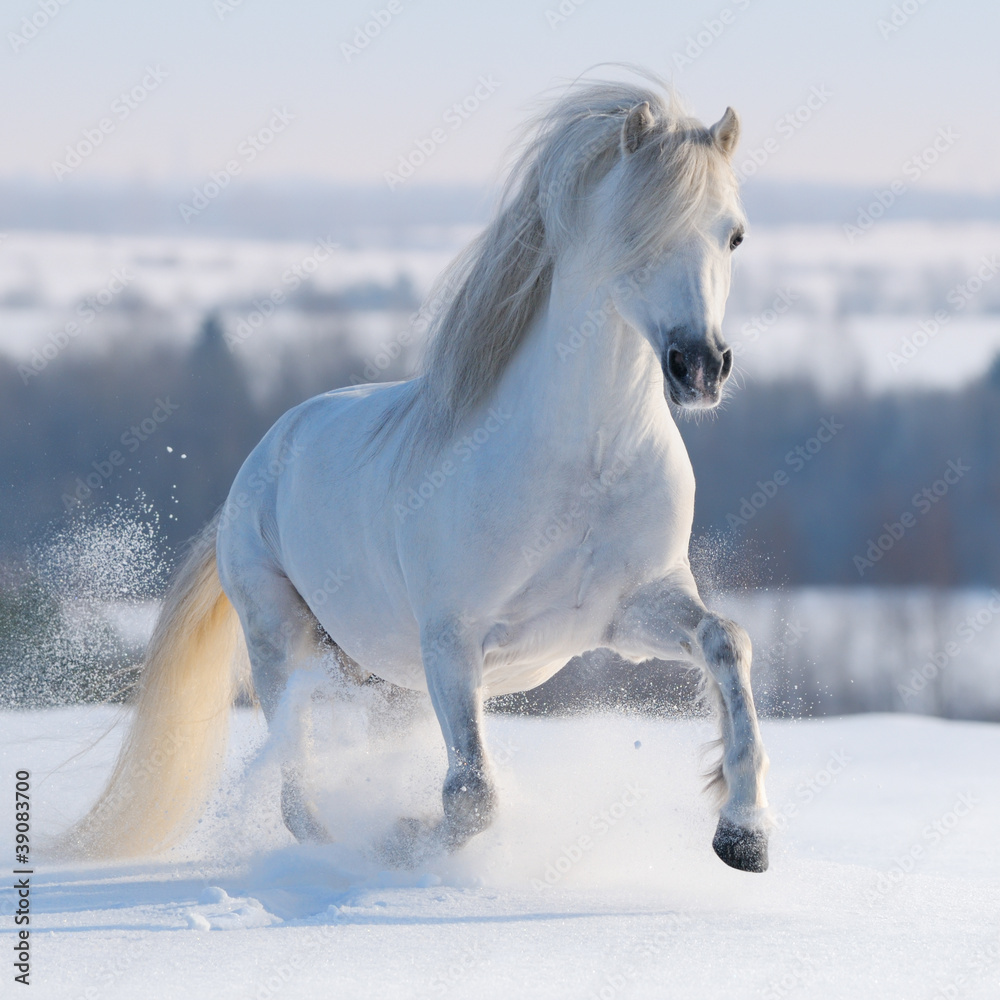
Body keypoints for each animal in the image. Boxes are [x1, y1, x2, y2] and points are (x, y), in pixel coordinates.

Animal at [68, 78, 772, 872]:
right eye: (636, 231)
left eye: (733, 235)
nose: (700, 367)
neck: (583, 464)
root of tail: (267, 453)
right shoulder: (452, 643)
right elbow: (472, 796)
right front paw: (404, 842)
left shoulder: (628, 612)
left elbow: (727, 641)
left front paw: (744, 834)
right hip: (282, 640)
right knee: (294, 789)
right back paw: (338, 849)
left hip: (386, 678)